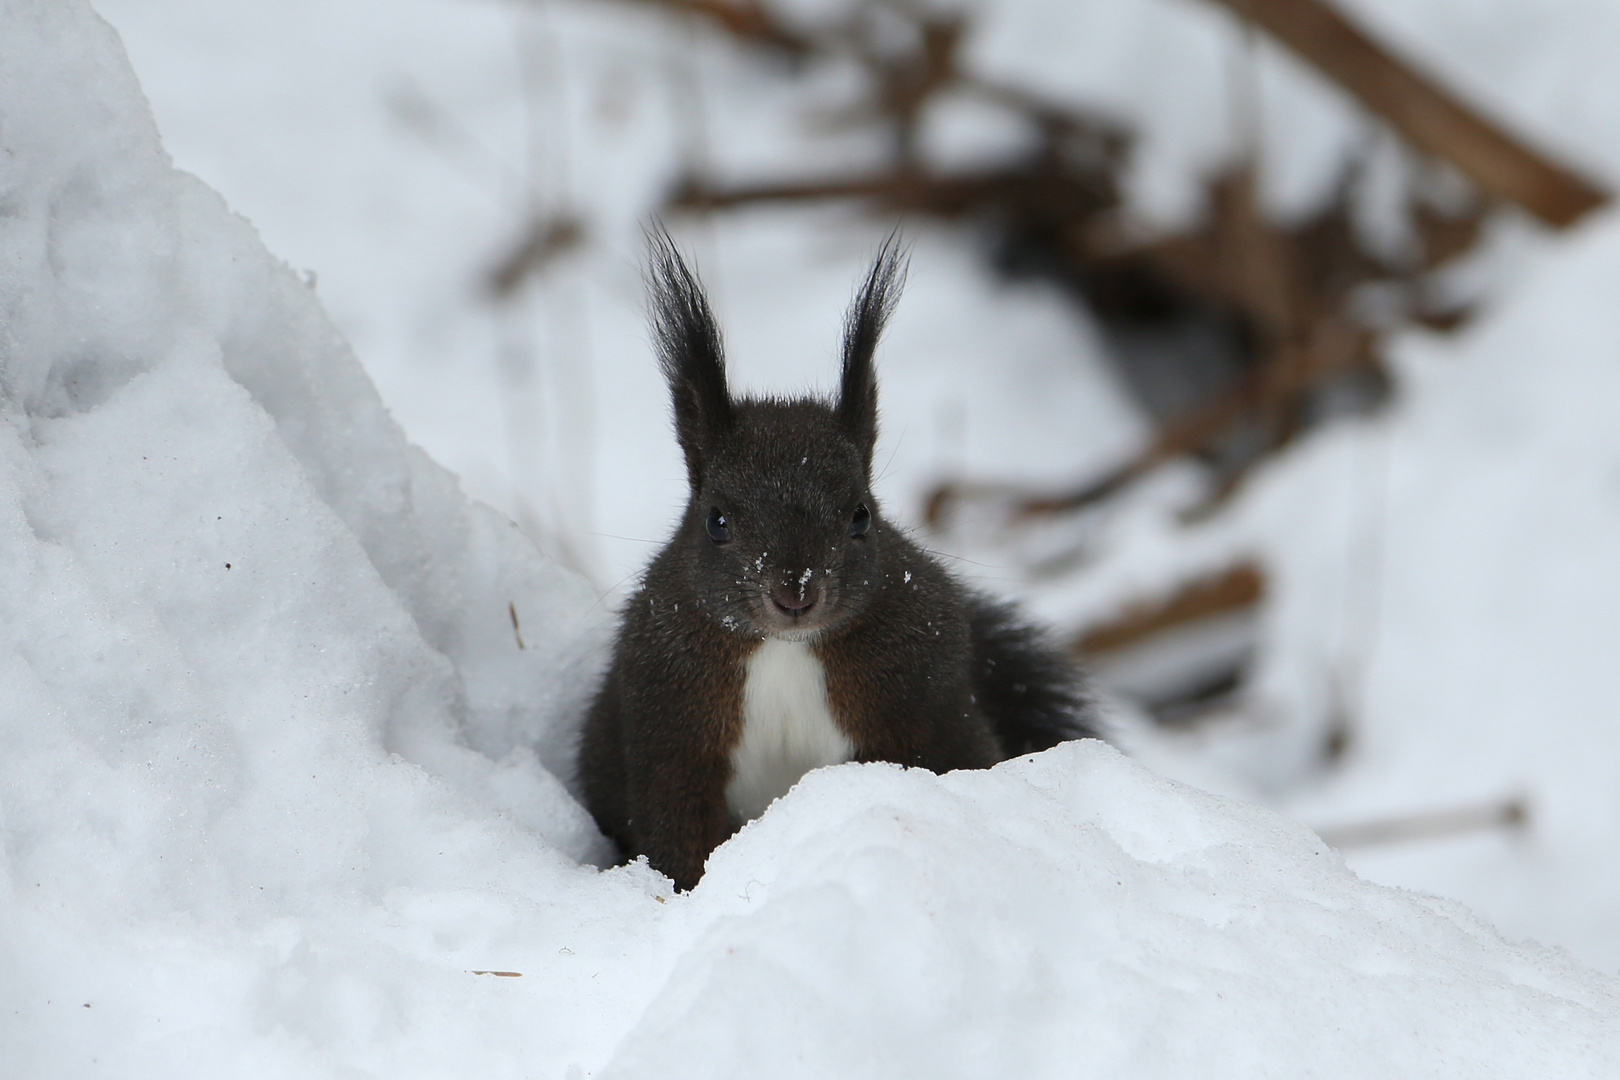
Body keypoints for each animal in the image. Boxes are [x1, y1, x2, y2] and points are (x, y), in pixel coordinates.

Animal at [576, 226, 1095, 887]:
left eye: (861, 516)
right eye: (716, 521)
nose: (795, 591)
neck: (786, 650)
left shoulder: (925, 703)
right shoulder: (668, 728)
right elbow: (675, 835)